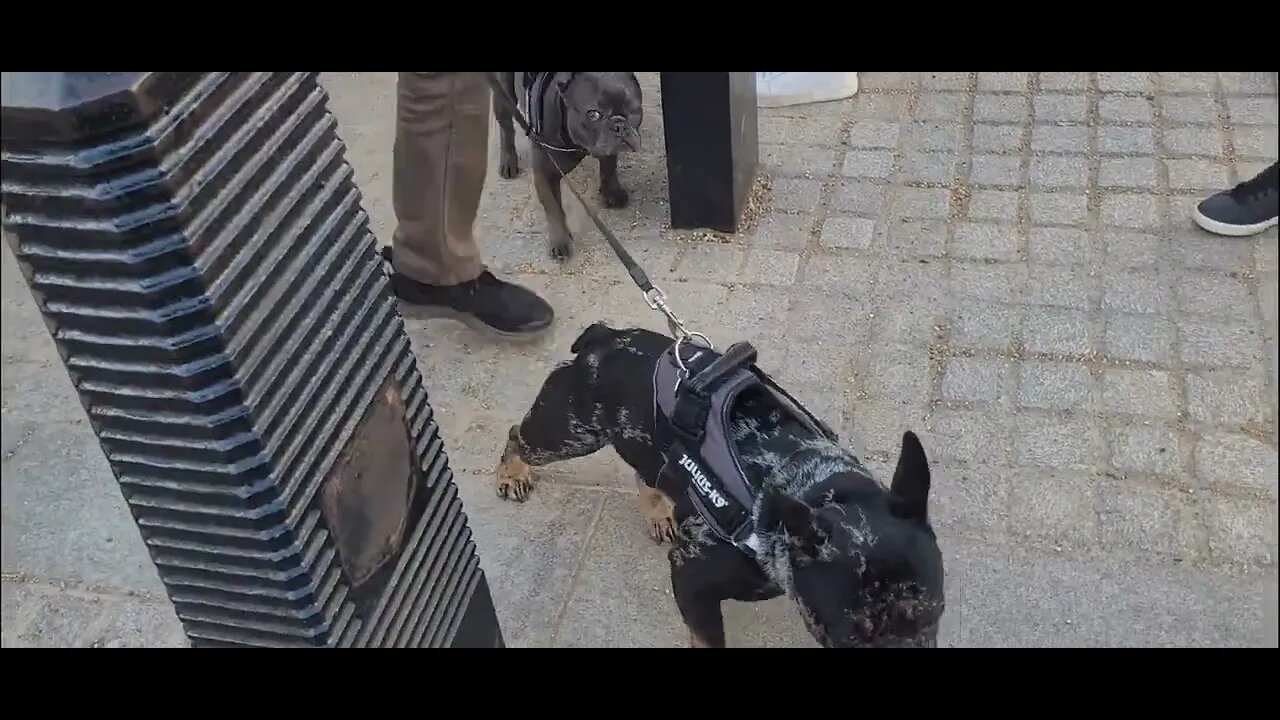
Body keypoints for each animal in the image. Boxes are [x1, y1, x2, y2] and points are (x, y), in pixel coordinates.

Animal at [494, 70, 645, 258]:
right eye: (593, 114)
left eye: (635, 109)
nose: (619, 126)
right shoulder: (545, 175)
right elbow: (554, 209)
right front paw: (561, 241)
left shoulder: (607, 151)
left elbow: (609, 166)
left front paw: (612, 192)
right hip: (504, 92)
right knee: (506, 124)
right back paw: (508, 161)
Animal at [494, 322, 947, 648]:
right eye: (849, 634)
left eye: (934, 614)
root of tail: (603, 338)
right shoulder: (691, 578)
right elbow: (708, 640)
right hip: (567, 433)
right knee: (518, 434)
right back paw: (512, 473)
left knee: (646, 471)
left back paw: (658, 510)